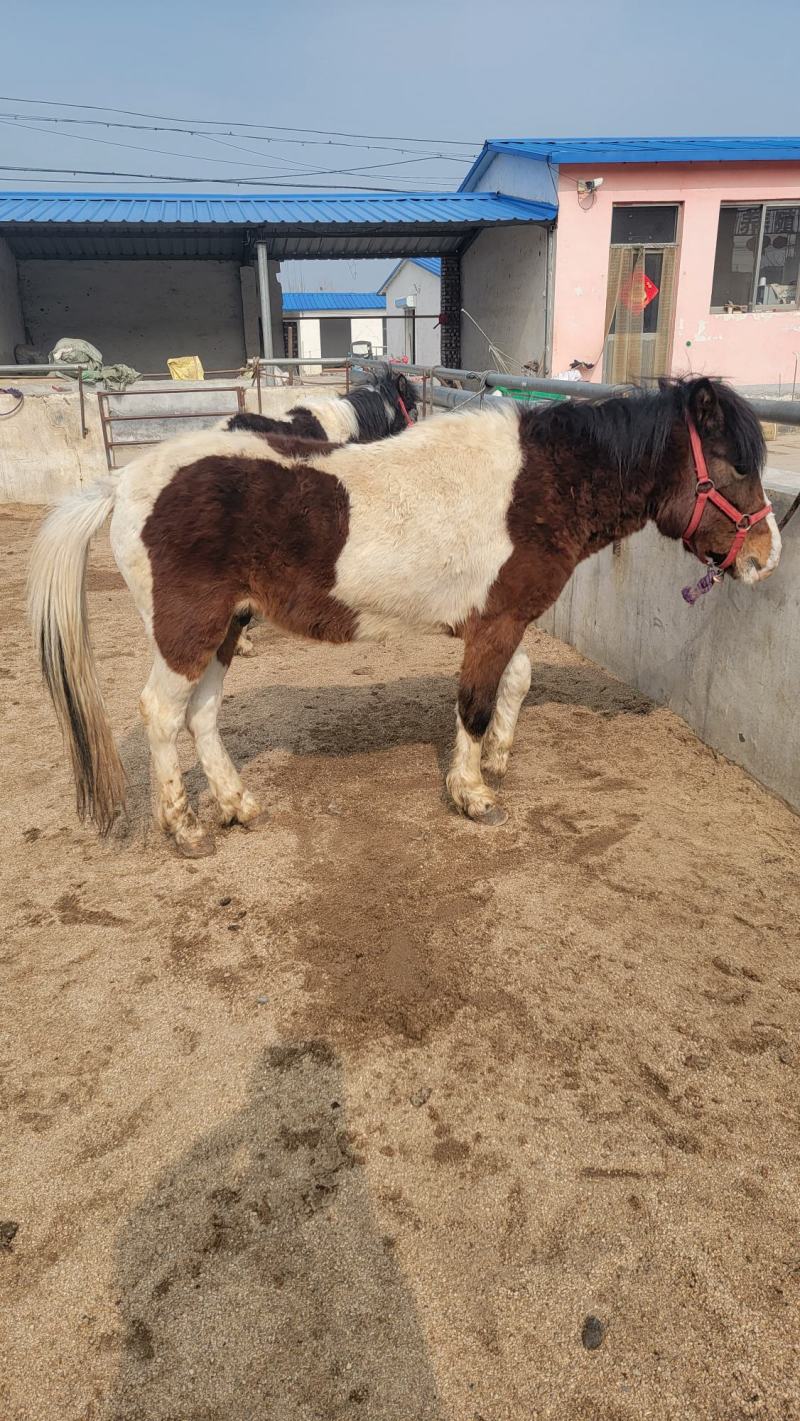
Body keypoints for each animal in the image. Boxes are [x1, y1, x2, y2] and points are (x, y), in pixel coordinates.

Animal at [28, 376, 780, 858]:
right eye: (737, 466)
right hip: (188, 631)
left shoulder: (499, 620)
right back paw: (184, 830)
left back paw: (238, 804)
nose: (766, 557)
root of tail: (123, 482)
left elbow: (517, 680)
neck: (535, 484)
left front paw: (498, 756)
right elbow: (474, 704)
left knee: (202, 714)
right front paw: (473, 794)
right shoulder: (496, 622)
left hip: (228, 628)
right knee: (161, 712)